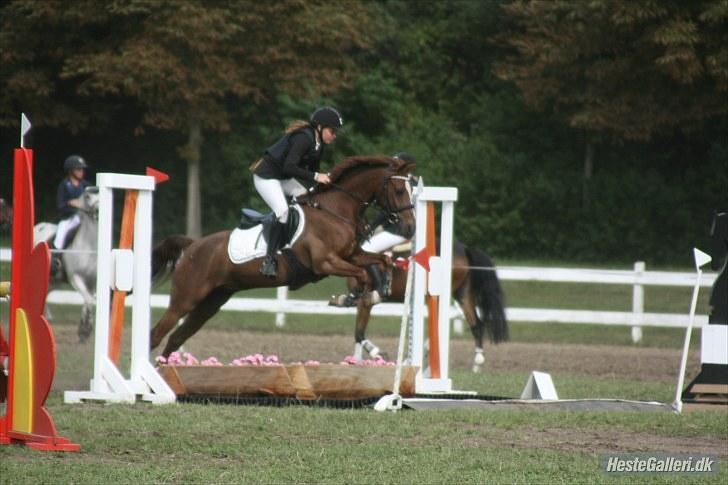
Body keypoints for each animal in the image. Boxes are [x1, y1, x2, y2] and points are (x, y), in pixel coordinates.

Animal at [34, 185, 99, 340]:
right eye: (87, 197)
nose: (98, 211)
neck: (89, 245)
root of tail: (38, 226)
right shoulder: (75, 277)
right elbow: (88, 299)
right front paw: (85, 330)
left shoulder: (92, 282)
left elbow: (88, 300)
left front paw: (84, 330)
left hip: (54, 280)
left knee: (46, 292)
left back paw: (47, 317)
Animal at [151, 155, 416, 356]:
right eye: (399, 190)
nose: (410, 228)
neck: (335, 211)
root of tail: (193, 245)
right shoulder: (326, 263)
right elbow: (360, 273)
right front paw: (351, 297)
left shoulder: (352, 255)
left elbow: (380, 261)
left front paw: (376, 288)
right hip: (185, 300)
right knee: (157, 334)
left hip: (211, 302)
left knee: (176, 338)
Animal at [346, 238, 506, 370]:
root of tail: (464, 248)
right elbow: (358, 335)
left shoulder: (365, 302)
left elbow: (358, 334)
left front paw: (378, 354)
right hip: (462, 294)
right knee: (476, 324)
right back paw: (477, 361)